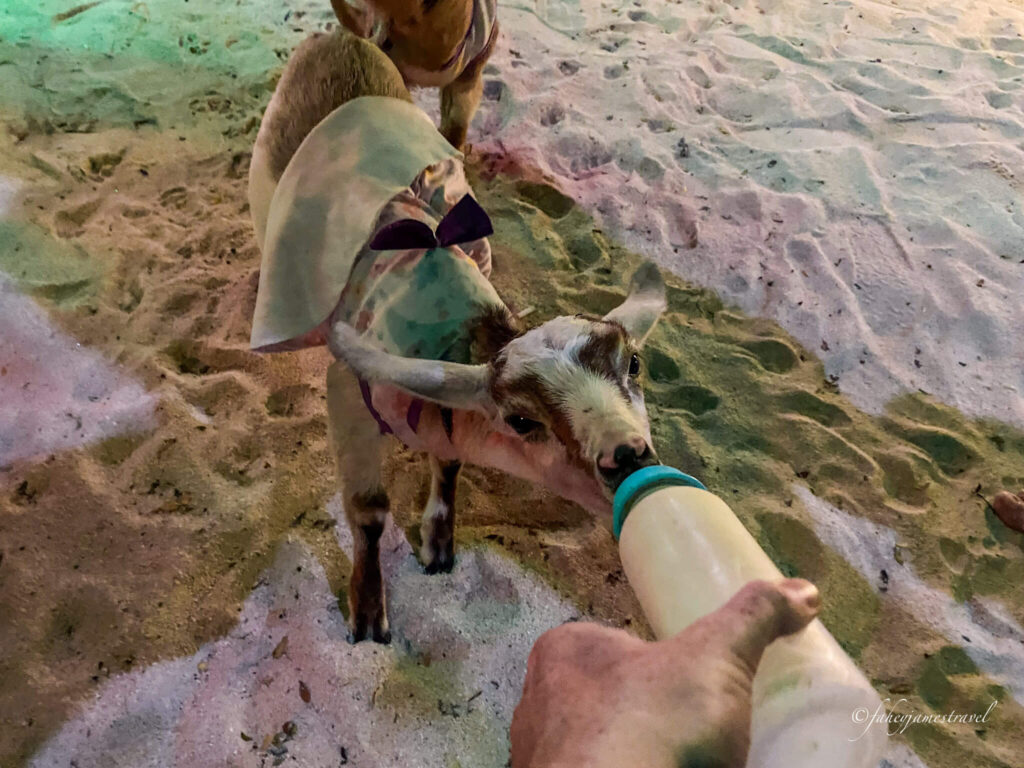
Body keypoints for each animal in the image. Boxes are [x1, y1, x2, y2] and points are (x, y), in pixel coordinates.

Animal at [249, 30, 665, 643]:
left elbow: (447, 467)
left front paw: (439, 546)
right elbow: (369, 510)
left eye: (633, 365)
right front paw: (368, 615)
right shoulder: (347, 389)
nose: (630, 456)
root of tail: (341, 37)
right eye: (522, 421)